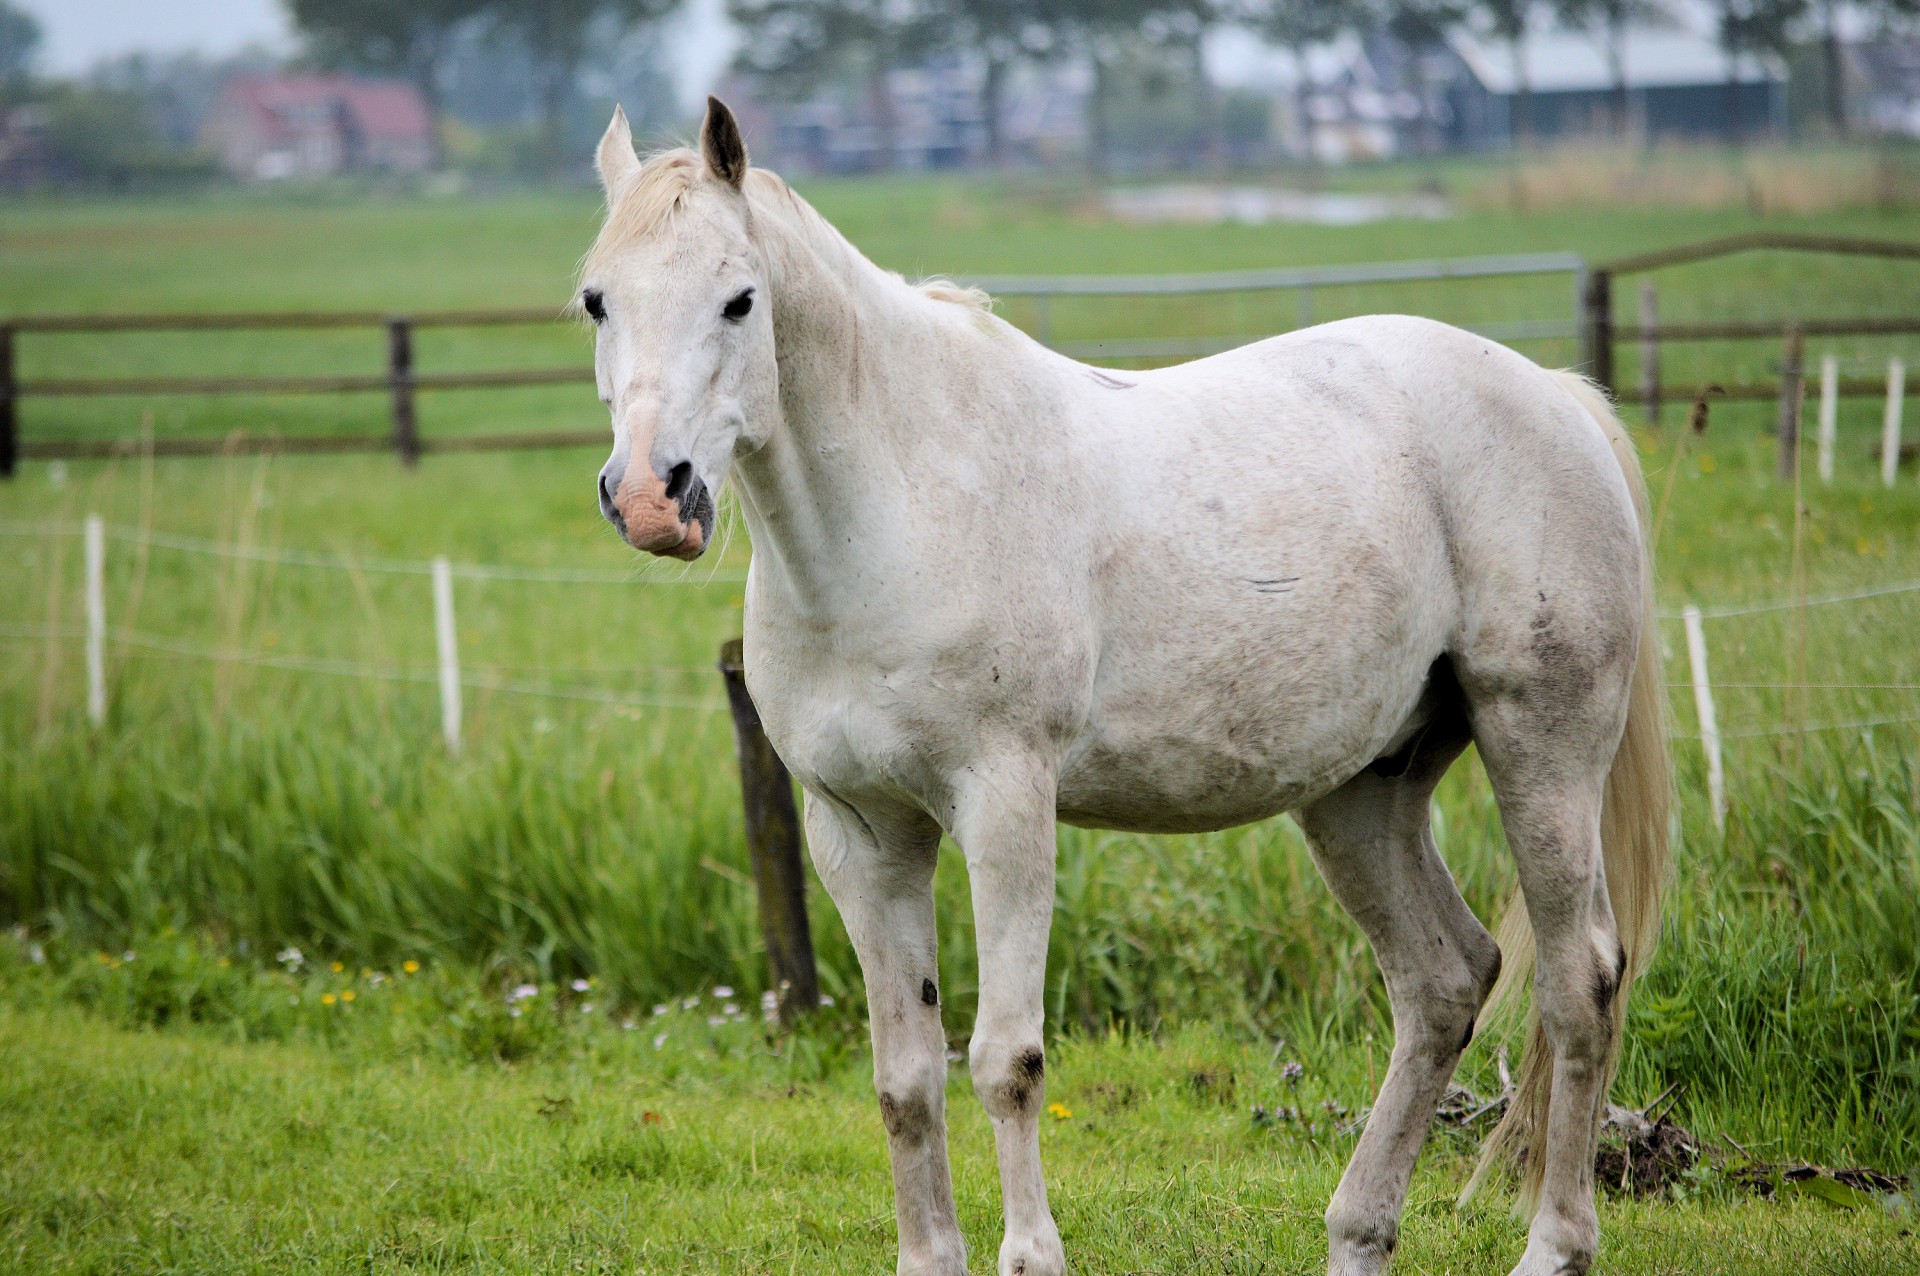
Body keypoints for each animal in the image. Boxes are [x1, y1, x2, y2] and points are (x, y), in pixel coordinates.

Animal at [579, 102, 1666, 1274]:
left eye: (740, 299)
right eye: (597, 299)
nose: (651, 498)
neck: (902, 505)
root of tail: (1555, 398)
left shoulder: (1005, 806)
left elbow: (1004, 1060)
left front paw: (1031, 1256)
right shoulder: (861, 835)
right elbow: (905, 1080)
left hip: (1541, 751)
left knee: (1578, 983)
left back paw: (1552, 1245)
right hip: (1362, 794)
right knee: (1445, 982)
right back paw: (1358, 1231)